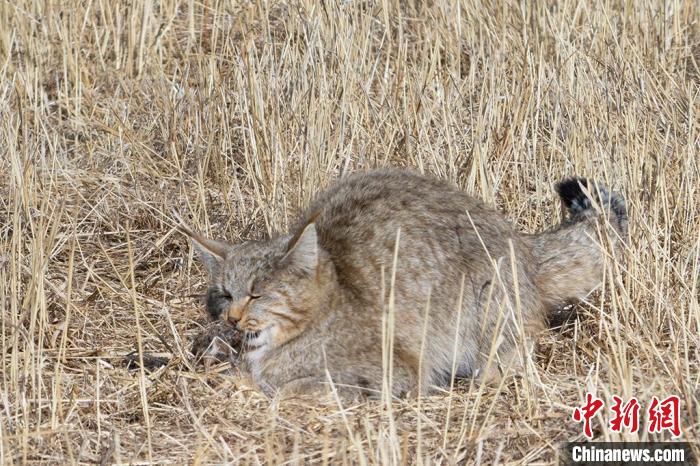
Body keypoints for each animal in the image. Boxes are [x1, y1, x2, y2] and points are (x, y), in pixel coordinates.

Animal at [178, 169, 628, 396]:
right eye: (225, 295)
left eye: (258, 294)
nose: (233, 320)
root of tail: (523, 242)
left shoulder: (395, 371)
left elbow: (299, 386)